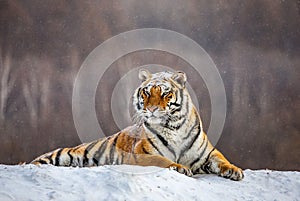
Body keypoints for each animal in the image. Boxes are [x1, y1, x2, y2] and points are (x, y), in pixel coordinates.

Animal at [31, 69, 244, 181]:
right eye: (147, 92)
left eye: (165, 93)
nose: (152, 109)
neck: (174, 127)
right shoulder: (141, 155)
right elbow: (163, 161)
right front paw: (180, 168)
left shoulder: (208, 153)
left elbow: (222, 160)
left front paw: (234, 170)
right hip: (60, 155)